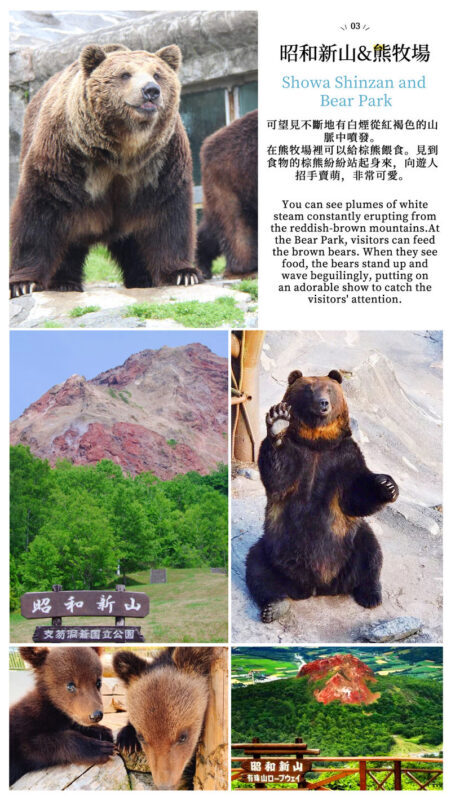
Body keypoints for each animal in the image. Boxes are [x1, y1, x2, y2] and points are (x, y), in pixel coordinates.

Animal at [10, 42, 200, 297]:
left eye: (157, 74)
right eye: (125, 74)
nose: (151, 90)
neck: (121, 152)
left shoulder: (160, 164)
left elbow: (170, 213)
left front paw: (183, 273)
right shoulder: (63, 157)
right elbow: (39, 212)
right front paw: (23, 283)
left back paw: (143, 279)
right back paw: (64, 282)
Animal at [10, 646, 114, 785]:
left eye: (98, 683)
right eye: (70, 685)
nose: (96, 715)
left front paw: (103, 731)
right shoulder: (22, 733)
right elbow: (41, 745)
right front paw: (99, 748)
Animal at [245, 369, 399, 623]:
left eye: (329, 389)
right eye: (309, 389)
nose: (323, 403)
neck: (317, 442)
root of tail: (318, 587)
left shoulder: (343, 456)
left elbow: (356, 496)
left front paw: (388, 485)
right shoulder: (297, 454)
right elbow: (278, 476)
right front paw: (278, 421)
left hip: (349, 546)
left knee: (371, 551)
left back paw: (370, 594)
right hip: (272, 551)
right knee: (257, 568)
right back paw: (275, 605)